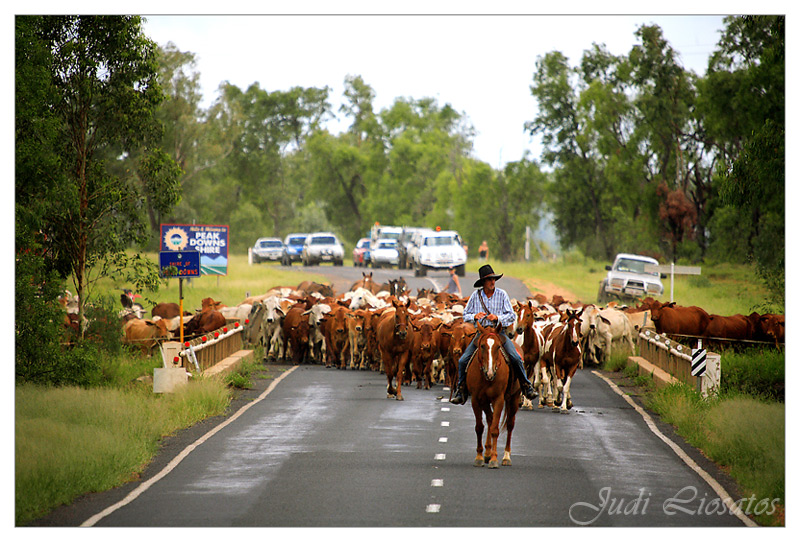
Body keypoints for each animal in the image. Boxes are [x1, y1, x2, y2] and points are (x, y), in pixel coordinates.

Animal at [466, 320, 520, 470]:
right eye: (482, 346)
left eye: (498, 347)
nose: (490, 372)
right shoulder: (476, 399)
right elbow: (479, 427)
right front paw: (479, 457)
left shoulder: (499, 399)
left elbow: (495, 429)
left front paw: (494, 460)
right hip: (485, 401)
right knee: (490, 419)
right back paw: (487, 453)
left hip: (514, 398)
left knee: (510, 424)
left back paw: (506, 457)